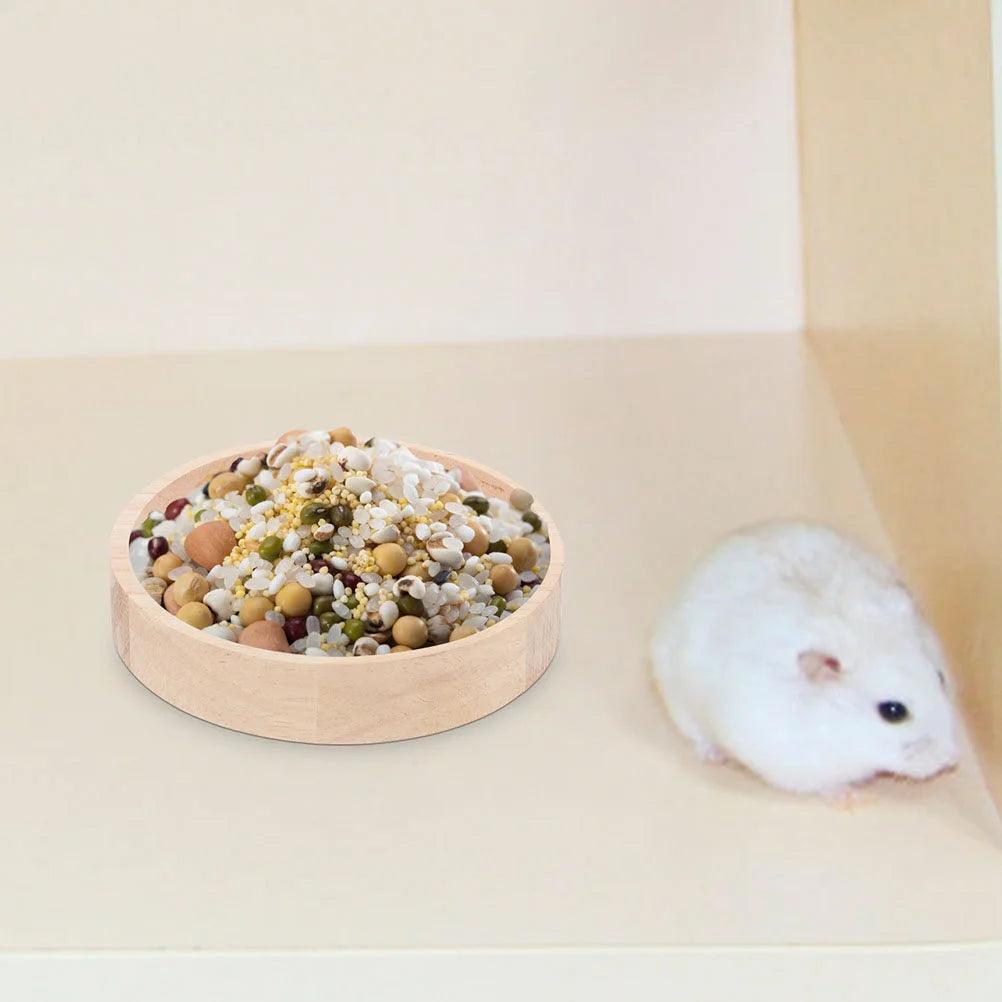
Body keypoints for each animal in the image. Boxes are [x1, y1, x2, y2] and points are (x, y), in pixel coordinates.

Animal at [650, 521, 958, 798]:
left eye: (940, 678)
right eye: (893, 712)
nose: (952, 760)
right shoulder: (793, 762)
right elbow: (822, 785)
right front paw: (851, 798)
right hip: (680, 700)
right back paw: (715, 756)